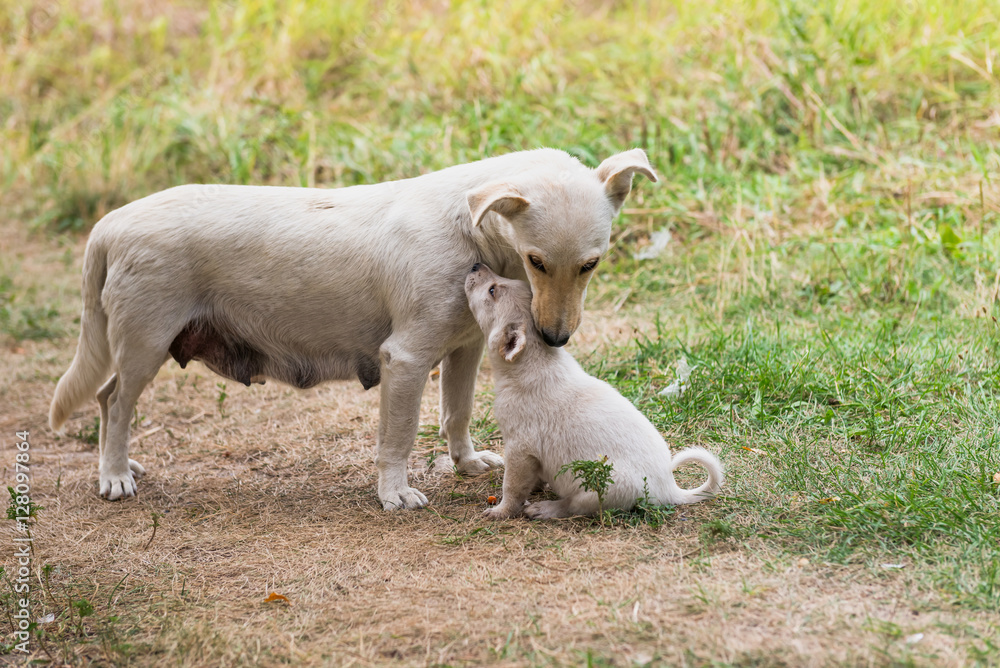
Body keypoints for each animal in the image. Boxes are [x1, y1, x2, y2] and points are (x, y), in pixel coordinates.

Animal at [48, 149, 656, 508]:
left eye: (591, 264)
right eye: (536, 261)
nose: (555, 338)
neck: (471, 232)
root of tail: (111, 223)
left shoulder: (463, 350)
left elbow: (456, 415)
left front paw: (465, 464)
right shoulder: (405, 360)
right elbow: (398, 439)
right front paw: (394, 493)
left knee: (106, 401)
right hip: (144, 347)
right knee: (114, 403)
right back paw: (114, 475)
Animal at [464, 264, 724, 520]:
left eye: (492, 291)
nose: (475, 265)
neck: (534, 358)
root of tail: (670, 489)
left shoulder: (519, 449)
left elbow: (512, 487)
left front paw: (500, 511)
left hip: (597, 484)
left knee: (574, 506)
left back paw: (545, 508)